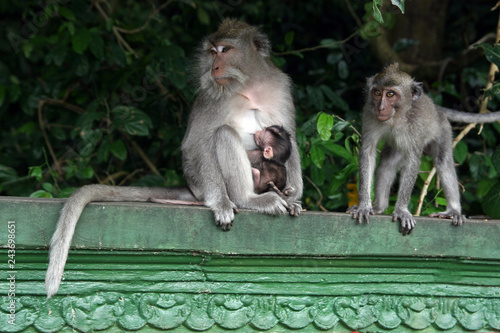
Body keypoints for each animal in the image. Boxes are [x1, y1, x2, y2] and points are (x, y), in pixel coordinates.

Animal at [45, 19, 302, 296]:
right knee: (224, 134)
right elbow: (195, 144)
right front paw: (221, 203)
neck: (247, 85)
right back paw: (248, 199)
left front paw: (293, 198)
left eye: (226, 50)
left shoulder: (279, 86)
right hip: (202, 183)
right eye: (212, 52)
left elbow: (291, 140)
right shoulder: (211, 96)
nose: (214, 67)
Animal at [348, 62, 500, 233]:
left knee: (443, 162)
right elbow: (368, 152)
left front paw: (401, 210)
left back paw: (453, 211)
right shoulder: (368, 113)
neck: (397, 117)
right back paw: (380, 207)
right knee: (387, 163)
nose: (380, 107)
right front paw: (364, 206)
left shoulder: (416, 126)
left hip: (443, 129)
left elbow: (413, 161)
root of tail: (437, 108)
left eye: (390, 94)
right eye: (377, 92)